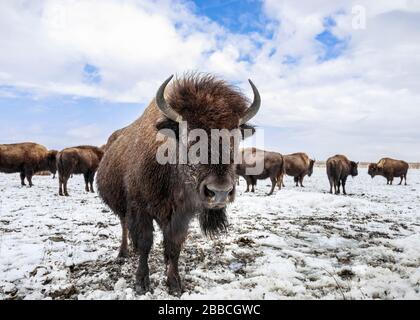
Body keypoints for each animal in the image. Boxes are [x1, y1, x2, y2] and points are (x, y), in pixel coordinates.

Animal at [95, 73, 260, 296]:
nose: (220, 192)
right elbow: (145, 243)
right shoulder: (140, 209)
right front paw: (141, 283)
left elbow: (174, 246)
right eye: (191, 137)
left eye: (235, 137)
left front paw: (174, 284)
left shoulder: (181, 216)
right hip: (120, 206)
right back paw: (123, 253)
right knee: (124, 226)